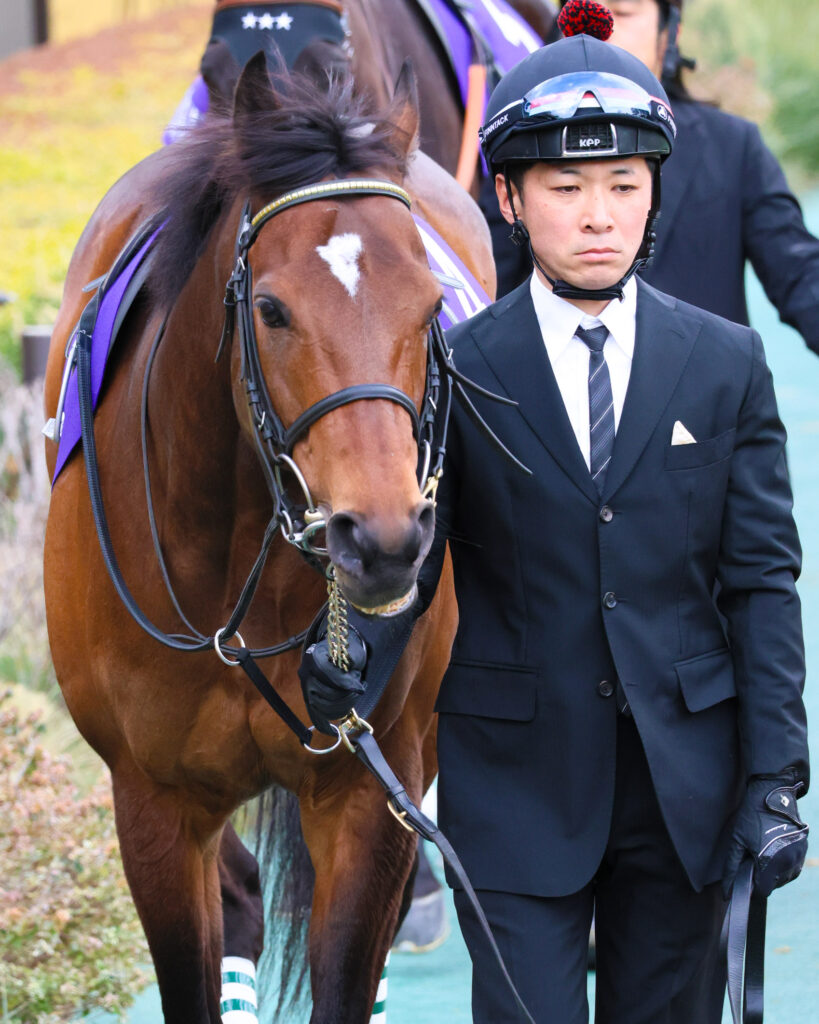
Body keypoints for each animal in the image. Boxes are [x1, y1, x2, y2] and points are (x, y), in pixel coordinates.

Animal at [43, 60, 495, 1022]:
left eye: (430, 306)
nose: (383, 538)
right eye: (274, 309)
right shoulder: (154, 802)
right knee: (245, 898)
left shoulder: (367, 789)